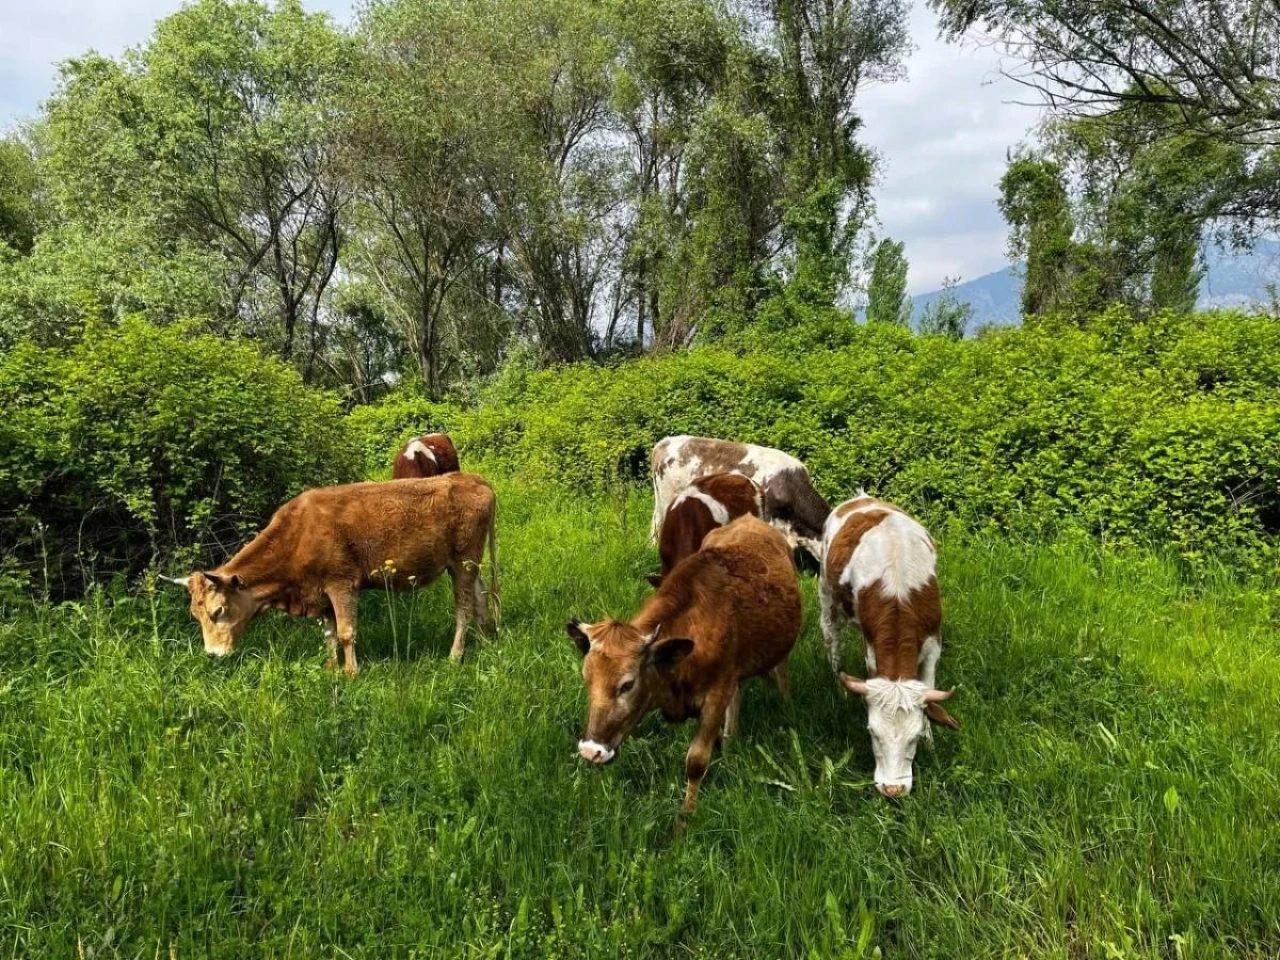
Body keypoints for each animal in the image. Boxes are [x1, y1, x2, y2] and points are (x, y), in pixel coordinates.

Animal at [161, 471, 499, 670]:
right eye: (194, 615)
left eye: (218, 611)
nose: (212, 654)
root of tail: (472, 478)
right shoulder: (318, 591)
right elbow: (329, 634)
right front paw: (332, 668)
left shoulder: (341, 583)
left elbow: (346, 632)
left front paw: (351, 672)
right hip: (470, 564)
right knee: (481, 596)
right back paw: (484, 641)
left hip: (463, 561)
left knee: (464, 606)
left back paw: (455, 655)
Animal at [570, 519, 798, 829]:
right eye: (587, 679)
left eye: (627, 685)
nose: (590, 751)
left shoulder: (716, 694)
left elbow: (696, 762)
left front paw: (684, 820)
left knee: (782, 674)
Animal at [824, 491, 957, 798]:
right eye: (872, 732)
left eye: (914, 737)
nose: (892, 789)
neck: (899, 594)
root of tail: (862, 498)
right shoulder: (872, 648)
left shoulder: (933, 643)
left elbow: (929, 686)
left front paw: (930, 740)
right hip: (827, 593)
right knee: (831, 636)